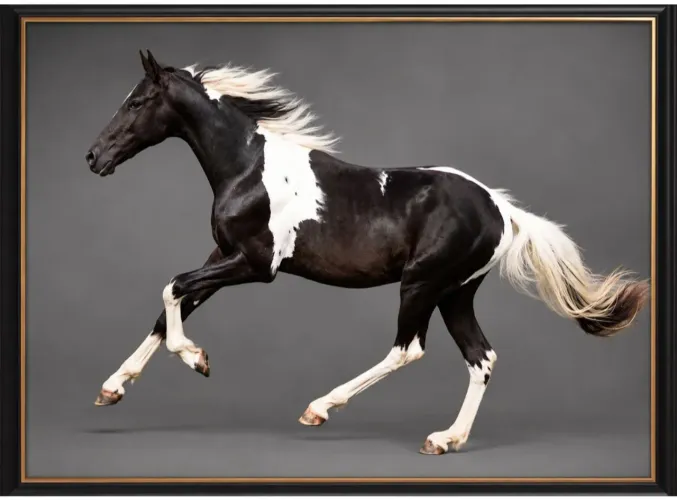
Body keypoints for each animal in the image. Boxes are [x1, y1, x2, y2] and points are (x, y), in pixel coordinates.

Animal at [85, 50, 649, 455]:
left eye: (136, 102)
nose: (92, 156)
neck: (248, 168)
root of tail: (502, 209)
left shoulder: (257, 265)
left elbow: (172, 288)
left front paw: (197, 359)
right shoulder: (221, 255)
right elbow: (170, 307)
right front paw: (113, 387)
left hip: (421, 283)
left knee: (408, 348)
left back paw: (321, 407)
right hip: (456, 293)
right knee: (481, 357)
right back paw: (447, 439)